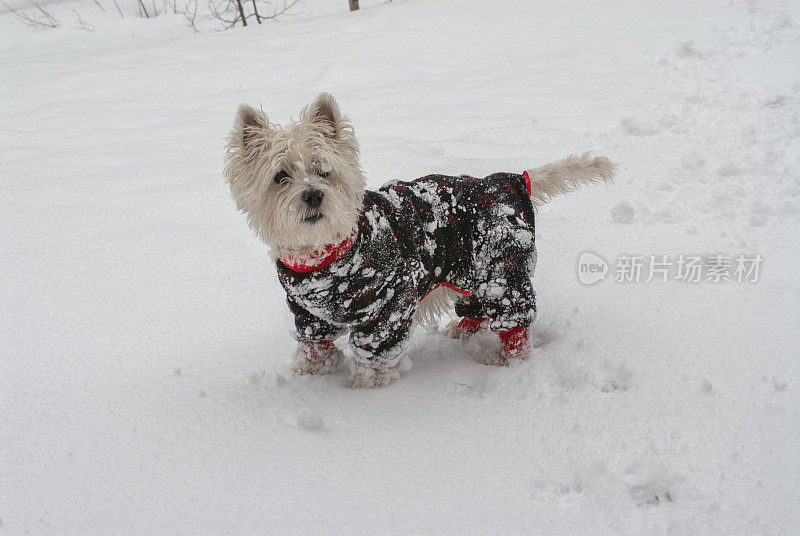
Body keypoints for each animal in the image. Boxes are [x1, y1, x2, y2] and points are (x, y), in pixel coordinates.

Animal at [222, 91, 616, 386]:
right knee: (475, 308)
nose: (314, 195)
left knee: (514, 320)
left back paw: (505, 360)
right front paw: (310, 371)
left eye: (324, 170)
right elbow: (314, 343)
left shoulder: (386, 309)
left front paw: (366, 387)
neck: (327, 255)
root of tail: (512, 180)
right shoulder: (308, 313)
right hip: (469, 272)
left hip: (502, 269)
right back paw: (460, 332)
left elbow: (375, 355)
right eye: (280, 176)